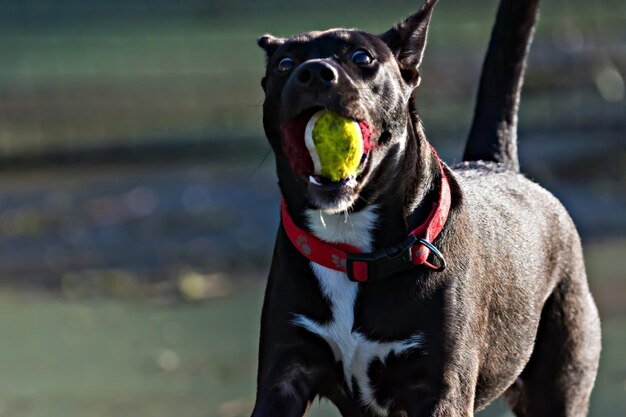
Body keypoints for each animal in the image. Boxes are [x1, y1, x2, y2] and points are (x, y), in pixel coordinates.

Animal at [250, 0, 600, 414]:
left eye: (361, 57)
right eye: (284, 64)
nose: (314, 72)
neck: (353, 249)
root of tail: (497, 164)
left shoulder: (441, 390)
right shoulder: (284, 375)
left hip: (559, 378)